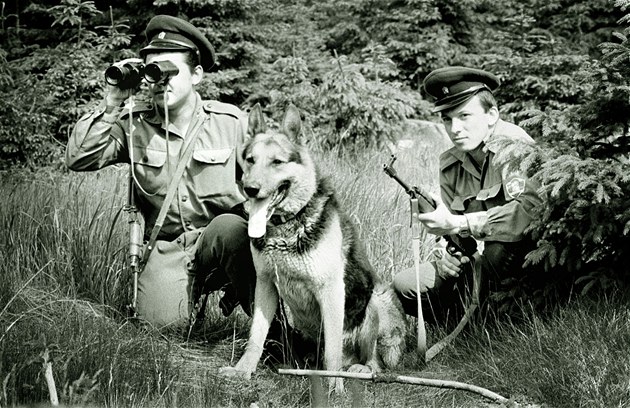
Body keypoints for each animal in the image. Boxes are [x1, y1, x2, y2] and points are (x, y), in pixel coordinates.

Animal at [220, 104, 408, 392]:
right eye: (250, 160)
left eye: (277, 162)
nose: (251, 189)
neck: (286, 226)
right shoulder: (265, 285)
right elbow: (256, 335)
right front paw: (243, 370)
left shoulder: (330, 291)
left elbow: (332, 350)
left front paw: (335, 387)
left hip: (377, 299)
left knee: (374, 362)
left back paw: (359, 370)